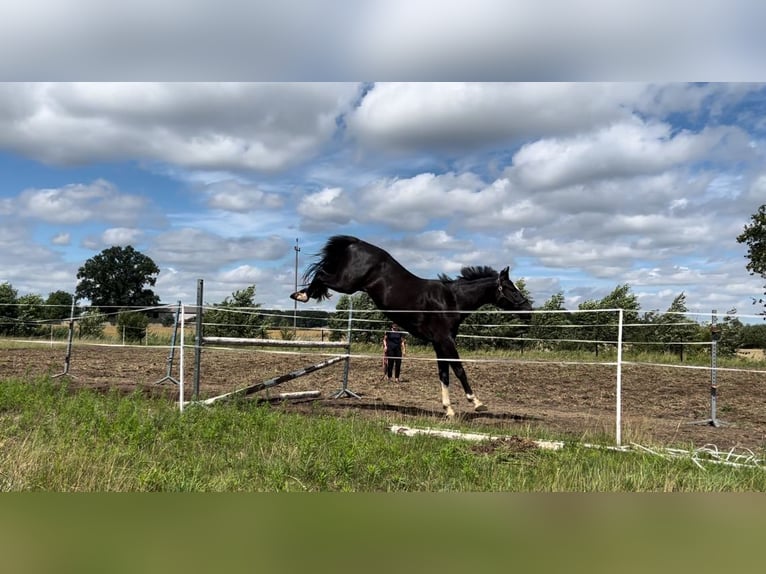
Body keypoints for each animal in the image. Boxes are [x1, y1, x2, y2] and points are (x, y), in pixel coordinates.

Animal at [290, 236, 536, 420]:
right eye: (510, 288)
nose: (529, 310)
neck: (451, 299)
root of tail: (357, 242)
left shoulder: (439, 343)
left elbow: (444, 374)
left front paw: (449, 410)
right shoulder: (445, 340)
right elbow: (459, 369)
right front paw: (476, 403)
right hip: (347, 283)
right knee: (321, 275)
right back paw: (301, 295)